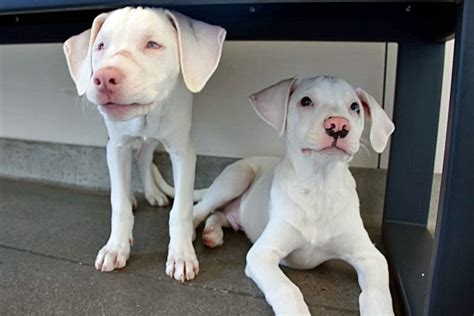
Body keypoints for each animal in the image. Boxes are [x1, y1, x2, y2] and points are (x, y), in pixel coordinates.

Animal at [63, 6, 226, 282]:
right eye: (100, 46)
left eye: (152, 45)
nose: (104, 78)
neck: (146, 116)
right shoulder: (116, 147)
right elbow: (118, 204)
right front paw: (116, 247)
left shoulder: (183, 151)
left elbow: (181, 210)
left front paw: (181, 255)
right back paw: (132, 197)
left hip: (156, 139)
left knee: (144, 157)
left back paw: (153, 193)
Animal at [193, 76, 396, 314]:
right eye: (305, 101)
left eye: (355, 107)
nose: (338, 126)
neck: (319, 186)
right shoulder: (261, 253)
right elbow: (287, 289)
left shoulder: (371, 257)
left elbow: (376, 294)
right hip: (236, 178)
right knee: (200, 210)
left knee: (220, 215)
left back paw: (212, 233)